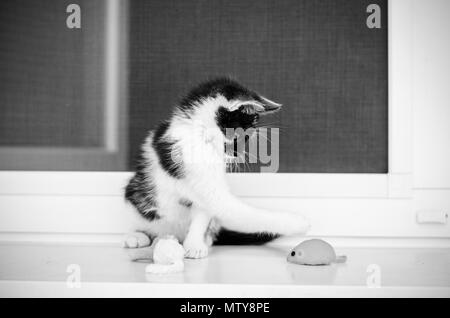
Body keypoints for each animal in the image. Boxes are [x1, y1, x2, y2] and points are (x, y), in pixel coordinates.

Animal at [125, 77, 312, 258]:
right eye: (239, 136)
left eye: (247, 138)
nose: (237, 154)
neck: (201, 135)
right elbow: (230, 206)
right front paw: (297, 222)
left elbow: (203, 212)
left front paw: (194, 245)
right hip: (136, 192)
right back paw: (137, 236)